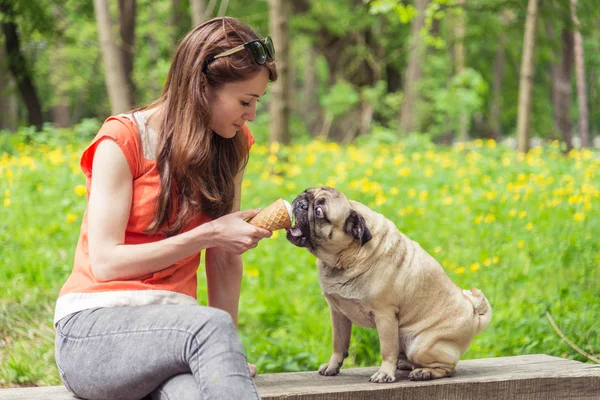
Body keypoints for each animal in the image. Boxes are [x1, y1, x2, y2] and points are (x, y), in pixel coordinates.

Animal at [286, 186, 492, 382]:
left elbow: (387, 349)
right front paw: (332, 366)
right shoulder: (338, 313)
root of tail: (475, 316)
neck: (345, 257)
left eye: (319, 211)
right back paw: (407, 364)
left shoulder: (384, 315)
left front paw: (385, 374)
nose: (301, 203)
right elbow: (338, 344)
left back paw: (423, 372)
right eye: (307, 192)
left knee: (447, 368)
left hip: (421, 344)